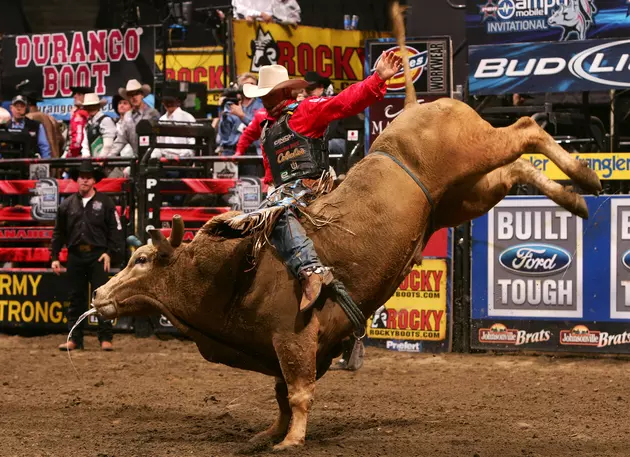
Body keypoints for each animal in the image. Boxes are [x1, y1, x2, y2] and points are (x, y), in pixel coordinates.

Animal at [91, 2, 604, 448]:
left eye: (140, 259)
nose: (98, 294)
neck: (229, 269)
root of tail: (415, 108)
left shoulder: (293, 337)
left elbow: (297, 392)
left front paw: (290, 441)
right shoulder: (280, 348)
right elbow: (280, 395)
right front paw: (268, 434)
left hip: (474, 150)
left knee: (525, 128)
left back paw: (586, 175)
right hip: (462, 197)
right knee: (517, 169)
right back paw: (575, 199)